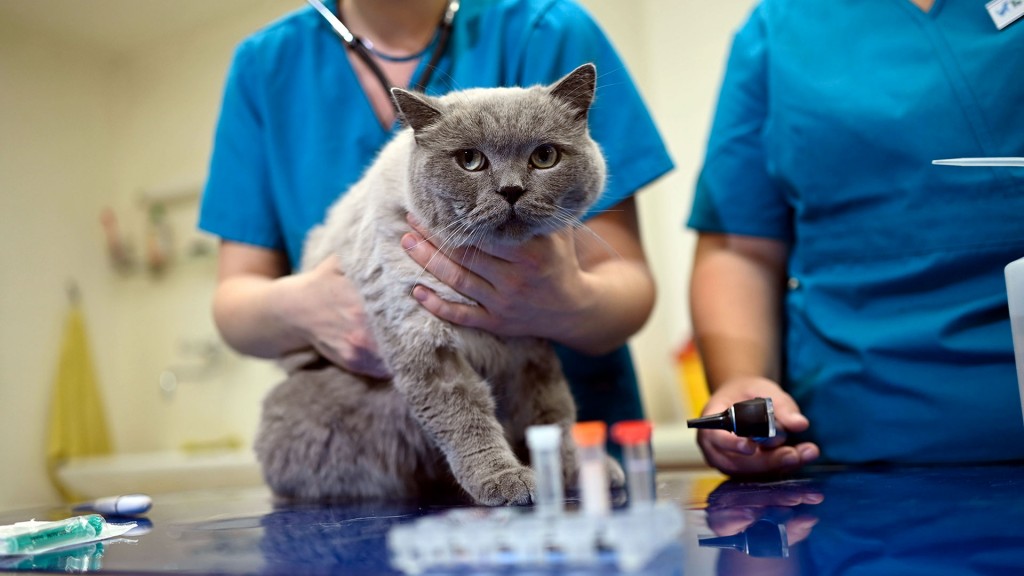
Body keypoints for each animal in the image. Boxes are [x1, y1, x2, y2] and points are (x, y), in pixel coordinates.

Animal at [256, 63, 622, 502]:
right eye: (470, 160)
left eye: (545, 156)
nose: (511, 190)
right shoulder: (423, 339)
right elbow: (465, 417)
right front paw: (506, 481)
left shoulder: (529, 340)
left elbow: (554, 412)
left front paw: (578, 471)